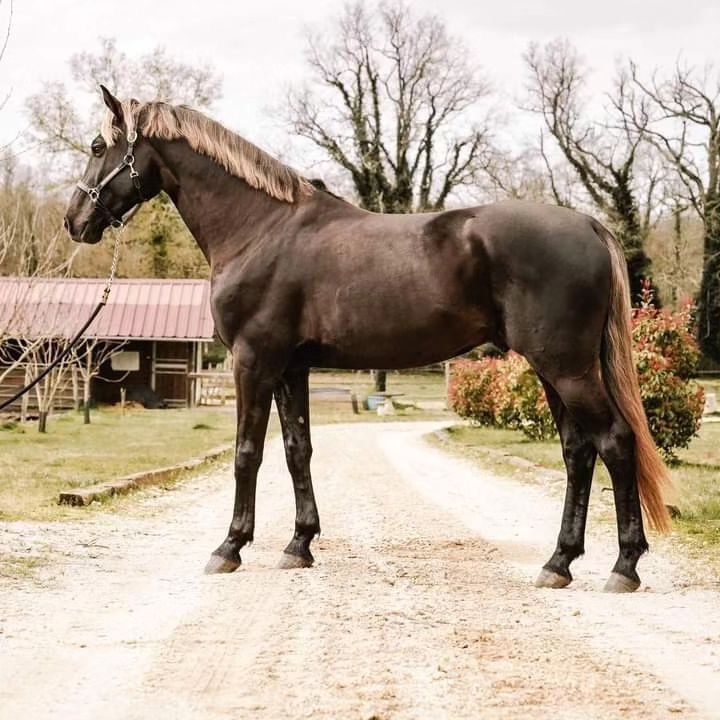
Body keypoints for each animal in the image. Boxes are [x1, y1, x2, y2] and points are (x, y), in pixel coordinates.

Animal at [64, 86, 672, 593]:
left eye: (97, 145)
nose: (75, 220)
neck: (260, 229)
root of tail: (589, 225)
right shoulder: (291, 367)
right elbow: (298, 450)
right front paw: (299, 545)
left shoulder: (252, 361)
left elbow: (247, 453)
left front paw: (230, 547)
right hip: (552, 369)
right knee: (578, 452)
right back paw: (559, 562)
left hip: (567, 368)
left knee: (615, 442)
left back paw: (623, 566)